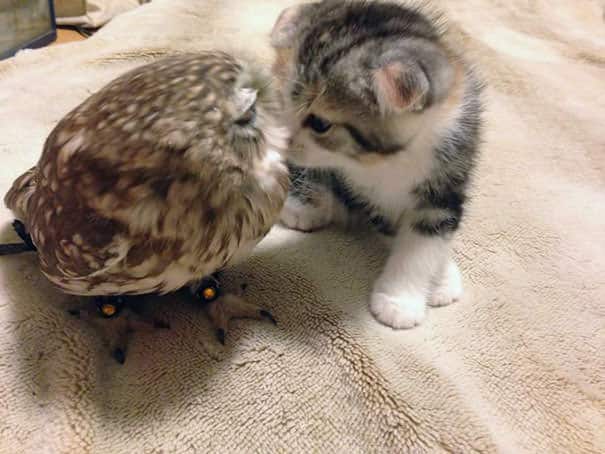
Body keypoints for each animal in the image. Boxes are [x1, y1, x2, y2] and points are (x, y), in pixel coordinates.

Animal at [272, 0, 484, 326]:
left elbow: (426, 239)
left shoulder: (450, 174)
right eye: (284, 103)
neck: (391, 160)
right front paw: (402, 301)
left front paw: (428, 283)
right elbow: (392, 227)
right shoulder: (369, 194)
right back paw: (305, 204)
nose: (283, 138)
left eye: (320, 124)